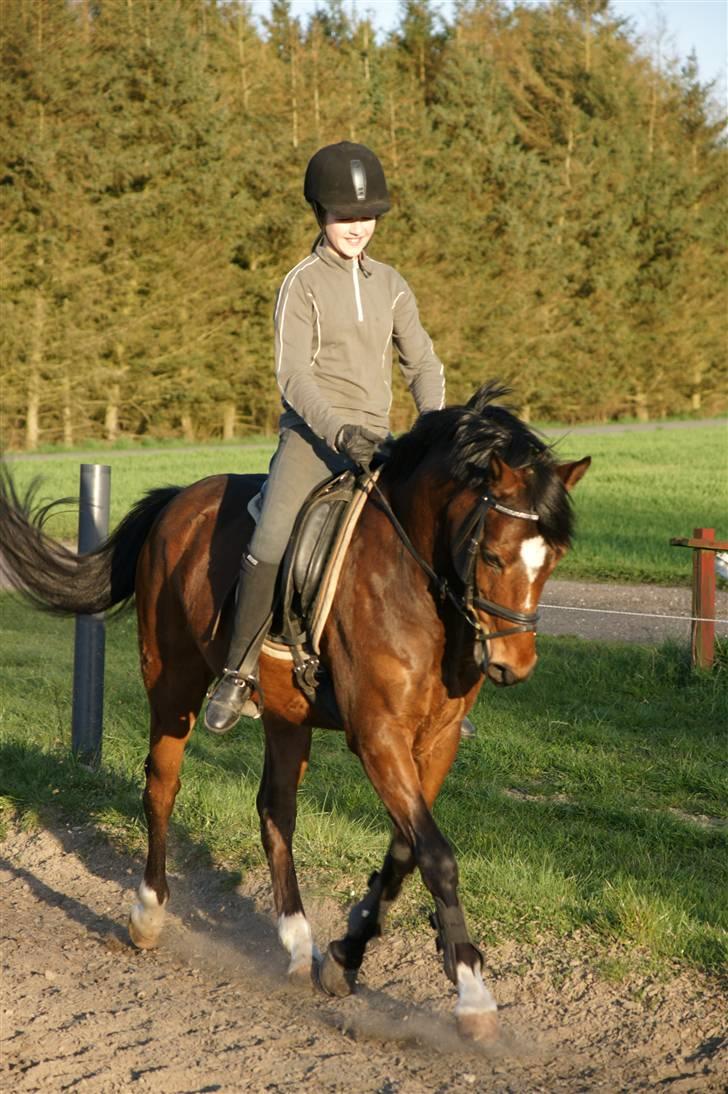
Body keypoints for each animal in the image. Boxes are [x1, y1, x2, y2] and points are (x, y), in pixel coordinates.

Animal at [0, 383, 589, 1042]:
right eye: (491, 555)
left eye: (556, 555)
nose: (514, 664)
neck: (417, 582)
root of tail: (180, 499)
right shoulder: (377, 735)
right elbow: (437, 855)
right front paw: (471, 993)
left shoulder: (436, 741)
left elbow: (405, 849)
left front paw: (344, 957)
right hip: (172, 684)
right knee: (162, 785)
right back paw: (148, 914)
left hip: (286, 714)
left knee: (274, 809)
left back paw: (296, 939)